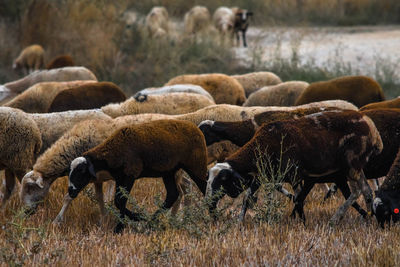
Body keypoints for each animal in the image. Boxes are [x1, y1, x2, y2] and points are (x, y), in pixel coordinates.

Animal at [63, 120, 206, 233]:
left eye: (81, 171)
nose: (70, 191)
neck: (112, 153)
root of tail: (196, 129)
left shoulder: (130, 174)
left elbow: (120, 200)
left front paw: (122, 226)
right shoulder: (120, 178)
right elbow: (118, 201)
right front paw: (137, 219)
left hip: (195, 165)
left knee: (204, 187)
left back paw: (210, 217)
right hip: (169, 171)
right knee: (172, 194)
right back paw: (151, 222)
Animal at [208, 110, 382, 225]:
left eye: (222, 179)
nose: (209, 205)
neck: (263, 144)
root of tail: (372, 128)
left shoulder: (294, 174)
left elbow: (299, 199)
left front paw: (301, 222)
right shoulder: (263, 176)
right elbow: (248, 198)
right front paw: (241, 223)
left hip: (352, 164)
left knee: (359, 191)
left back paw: (341, 219)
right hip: (356, 167)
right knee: (366, 191)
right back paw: (367, 219)